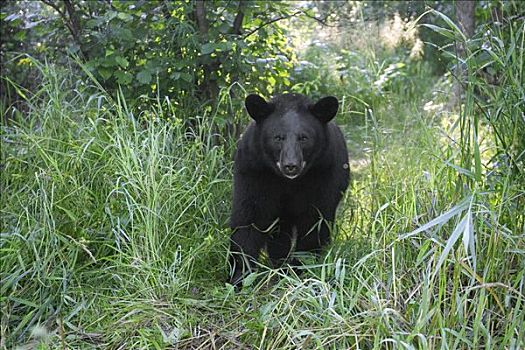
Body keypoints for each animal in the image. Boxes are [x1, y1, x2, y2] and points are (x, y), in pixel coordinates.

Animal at [228, 93, 348, 288]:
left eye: (304, 138)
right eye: (278, 137)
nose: (290, 165)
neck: (288, 181)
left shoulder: (324, 174)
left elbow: (314, 221)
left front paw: (301, 267)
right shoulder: (254, 171)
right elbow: (249, 217)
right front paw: (239, 276)